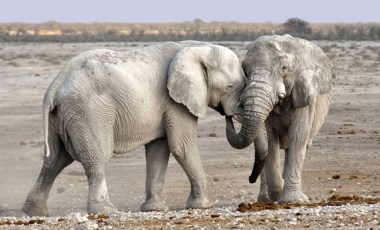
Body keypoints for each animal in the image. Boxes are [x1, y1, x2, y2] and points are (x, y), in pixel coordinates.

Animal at [22, 41, 245, 216]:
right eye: (229, 87)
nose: (229, 115)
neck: (197, 48)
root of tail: (55, 84)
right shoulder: (175, 102)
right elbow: (181, 147)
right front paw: (204, 206)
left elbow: (158, 150)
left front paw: (154, 209)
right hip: (88, 112)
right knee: (96, 159)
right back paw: (106, 211)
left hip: (61, 116)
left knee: (55, 160)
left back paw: (34, 212)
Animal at [226, 34, 332, 203]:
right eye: (245, 70)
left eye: (284, 68)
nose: (250, 179)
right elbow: (270, 140)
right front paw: (278, 193)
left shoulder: (304, 97)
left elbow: (298, 137)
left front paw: (293, 200)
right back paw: (265, 199)